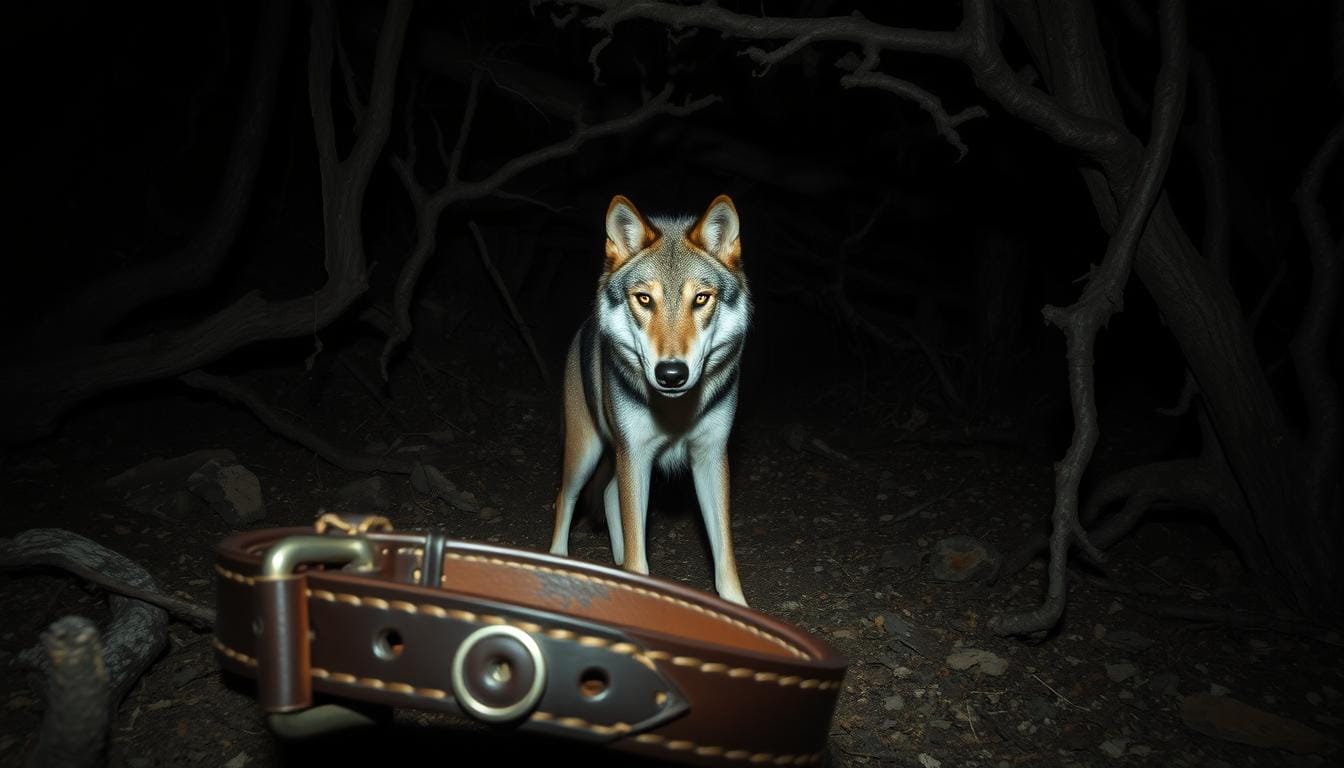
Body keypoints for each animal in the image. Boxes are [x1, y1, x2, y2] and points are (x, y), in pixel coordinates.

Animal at [549, 193, 752, 606]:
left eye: (701, 299)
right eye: (644, 299)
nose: (671, 373)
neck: (675, 410)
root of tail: (586, 326)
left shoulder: (710, 457)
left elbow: (725, 557)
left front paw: (739, 610)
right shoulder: (636, 454)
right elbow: (638, 557)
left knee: (608, 495)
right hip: (586, 452)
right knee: (565, 499)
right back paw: (558, 560)